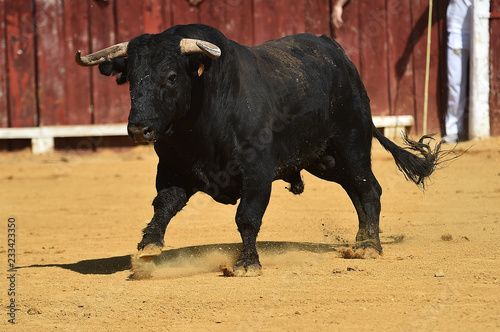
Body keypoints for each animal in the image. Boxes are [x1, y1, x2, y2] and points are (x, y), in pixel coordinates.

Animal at [77, 24, 450, 276]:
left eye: (171, 76)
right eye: (130, 78)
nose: (138, 128)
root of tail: (339, 55)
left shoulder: (256, 172)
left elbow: (247, 216)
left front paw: (246, 264)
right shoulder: (173, 168)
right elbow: (163, 205)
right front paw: (147, 248)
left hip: (352, 144)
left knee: (368, 188)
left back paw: (370, 247)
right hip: (325, 161)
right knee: (357, 192)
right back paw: (360, 242)